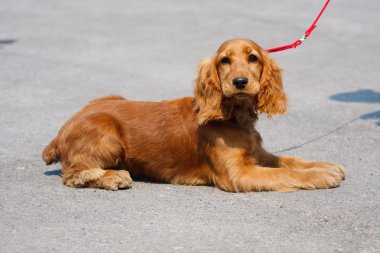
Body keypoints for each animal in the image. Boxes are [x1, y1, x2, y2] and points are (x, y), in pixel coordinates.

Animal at [43, 38, 346, 191]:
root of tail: (61, 131)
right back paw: (113, 177)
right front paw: (322, 176)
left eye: (253, 58)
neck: (234, 116)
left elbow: (290, 161)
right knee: (73, 172)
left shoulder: (257, 155)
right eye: (224, 60)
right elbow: (285, 173)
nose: (239, 82)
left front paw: (326, 166)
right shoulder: (238, 174)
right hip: (106, 131)